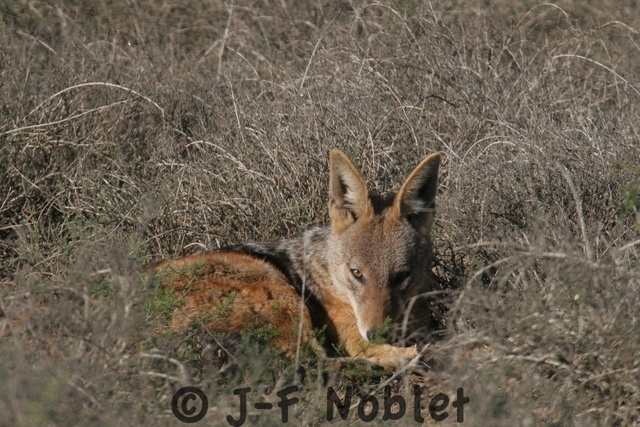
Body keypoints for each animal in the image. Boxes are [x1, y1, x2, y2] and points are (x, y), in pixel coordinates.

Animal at [148, 149, 441, 369]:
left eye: (401, 276)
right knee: (314, 362)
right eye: (357, 273)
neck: (326, 276)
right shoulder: (354, 340)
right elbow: (371, 351)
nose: (377, 333)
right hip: (277, 289)